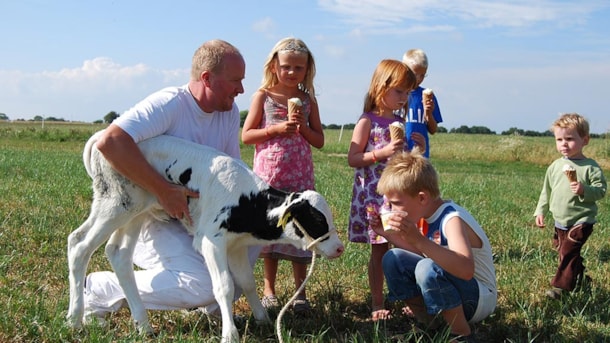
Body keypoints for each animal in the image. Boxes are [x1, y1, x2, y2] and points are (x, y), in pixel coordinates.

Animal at [67, 131, 344, 342]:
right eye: (317, 220)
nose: (340, 248)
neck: (247, 201)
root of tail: (101, 135)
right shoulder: (211, 241)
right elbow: (224, 286)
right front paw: (230, 334)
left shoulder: (236, 246)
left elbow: (247, 281)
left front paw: (263, 320)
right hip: (116, 204)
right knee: (79, 244)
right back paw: (75, 319)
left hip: (135, 212)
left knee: (118, 254)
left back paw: (143, 325)